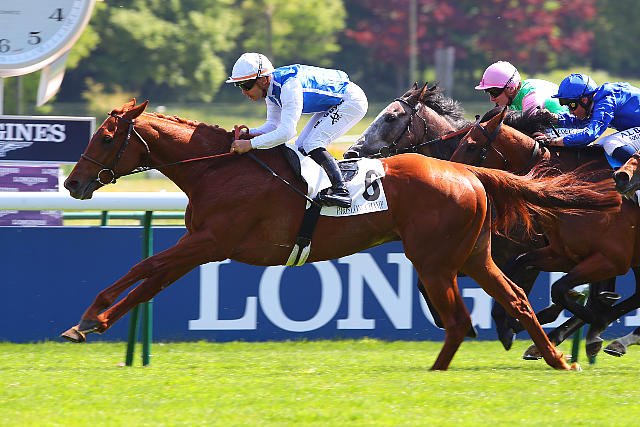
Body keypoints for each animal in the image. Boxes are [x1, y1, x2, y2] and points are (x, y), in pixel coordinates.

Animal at [450, 108, 640, 357]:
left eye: (471, 146)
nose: (451, 175)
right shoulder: (564, 254)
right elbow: (519, 267)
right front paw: (509, 323)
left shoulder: (611, 260)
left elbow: (560, 289)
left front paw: (596, 318)